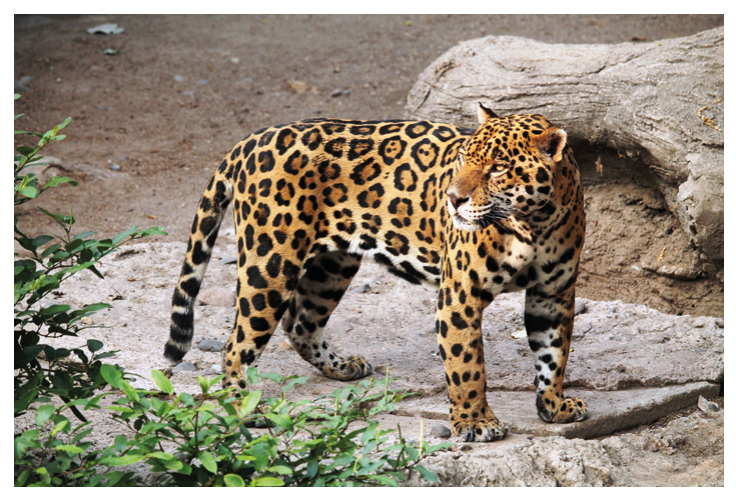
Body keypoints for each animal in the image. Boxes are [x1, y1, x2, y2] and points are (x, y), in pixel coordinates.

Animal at [164, 104, 588, 442]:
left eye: (499, 169)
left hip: (332, 266)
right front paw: (475, 422)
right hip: (270, 264)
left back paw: (342, 368)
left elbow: (553, 354)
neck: (534, 223)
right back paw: (244, 407)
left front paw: (554, 405)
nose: (453, 199)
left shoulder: (553, 295)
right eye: (463, 159)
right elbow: (467, 365)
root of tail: (251, 140)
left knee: (300, 323)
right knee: (237, 344)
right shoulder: (460, 296)